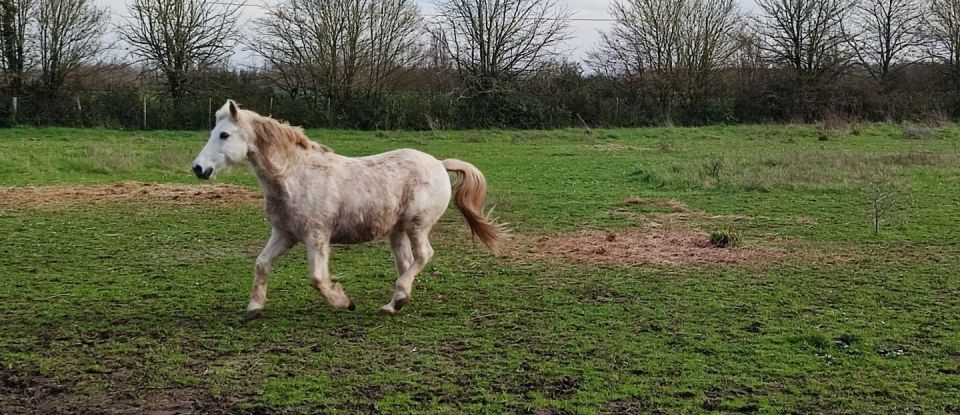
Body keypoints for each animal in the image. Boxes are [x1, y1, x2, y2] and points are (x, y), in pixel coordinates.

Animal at [195, 101, 510, 322]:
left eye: (224, 135)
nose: (199, 168)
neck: (295, 175)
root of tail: (440, 163)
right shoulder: (285, 234)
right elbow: (261, 264)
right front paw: (254, 308)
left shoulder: (316, 236)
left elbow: (317, 278)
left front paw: (344, 302)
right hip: (397, 232)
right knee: (407, 262)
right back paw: (396, 302)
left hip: (417, 225)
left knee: (423, 255)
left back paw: (396, 300)